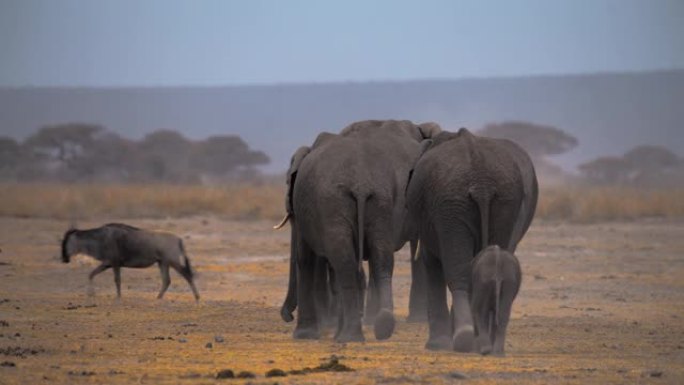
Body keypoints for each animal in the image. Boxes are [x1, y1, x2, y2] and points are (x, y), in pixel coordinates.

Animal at [60, 222, 200, 300]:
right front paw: (91, 294)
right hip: (163, 263)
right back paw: (158, 297)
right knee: (167, 280)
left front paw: (118, 297)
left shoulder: (115, 263)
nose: (64, 259)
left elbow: (117, 280)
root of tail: (178, 239)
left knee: (187, 275)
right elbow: (91, 274)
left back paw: (197, 297)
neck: (99, 238)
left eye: (65, 242)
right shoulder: (107, 263)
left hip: (173, 261)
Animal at [276, 118, 440, 340]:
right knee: (381, 259)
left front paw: (304, 335)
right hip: (381, 201)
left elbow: (306, 258)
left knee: (344, 262)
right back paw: (381, 324)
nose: (287, 316)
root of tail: (361, 184)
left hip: (336, 202)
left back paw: (351, 335)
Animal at [404, 127, 536, 352]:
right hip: (503, 201)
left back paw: (464, 339)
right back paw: (482, 343)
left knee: (458, 274)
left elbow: (431, 262)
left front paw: (436, 345)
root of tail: (481, 181)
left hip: (451, 204)